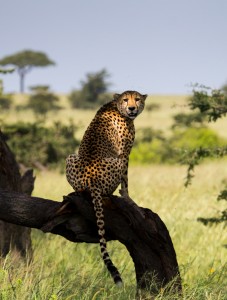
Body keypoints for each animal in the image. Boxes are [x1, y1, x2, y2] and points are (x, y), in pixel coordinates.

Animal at [65, 90, 147, 284]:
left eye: (137, 99)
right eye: (126, 100)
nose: (132, 108)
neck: (115, 105)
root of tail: (91, 182)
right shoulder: (124, 154)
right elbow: (125, 185)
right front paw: (129, 199)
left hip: (70, 157)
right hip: (116, 162)